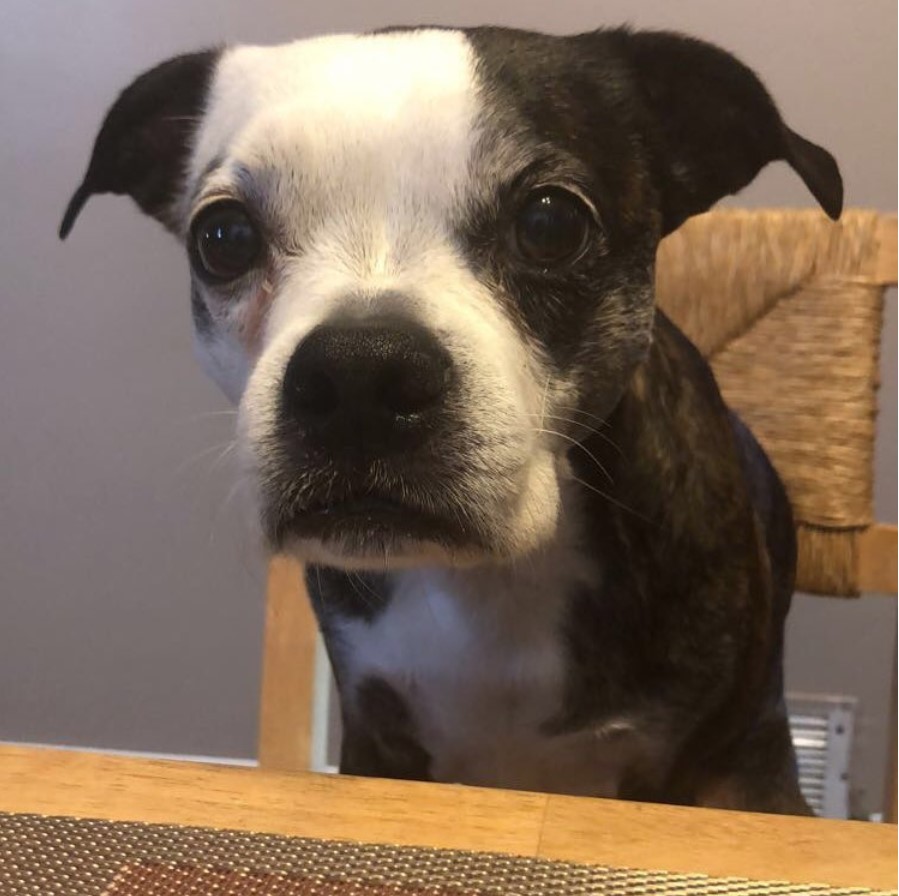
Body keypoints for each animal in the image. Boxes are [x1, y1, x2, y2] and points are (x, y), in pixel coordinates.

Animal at [61, 26, 844, 812]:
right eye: (223, 237)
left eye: (550, 222)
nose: (359, 373)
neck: (488, 580)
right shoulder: (376, 740)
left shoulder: (697, 771)